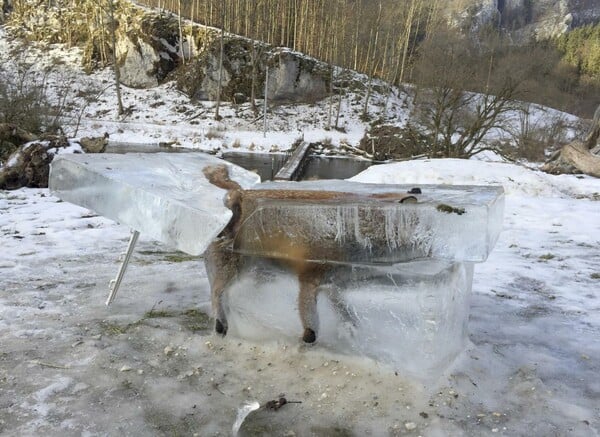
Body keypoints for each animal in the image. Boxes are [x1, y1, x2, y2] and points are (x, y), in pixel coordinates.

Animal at [203, 165, 418, 342]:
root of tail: (240, 193)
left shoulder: (333, 283)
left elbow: (345, 310)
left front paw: (350, 328)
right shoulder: (310, 278)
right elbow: (311, 323)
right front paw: (308, 340)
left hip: (259, 273)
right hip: (236, 268)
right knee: (217, 292)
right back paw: (221, 323)